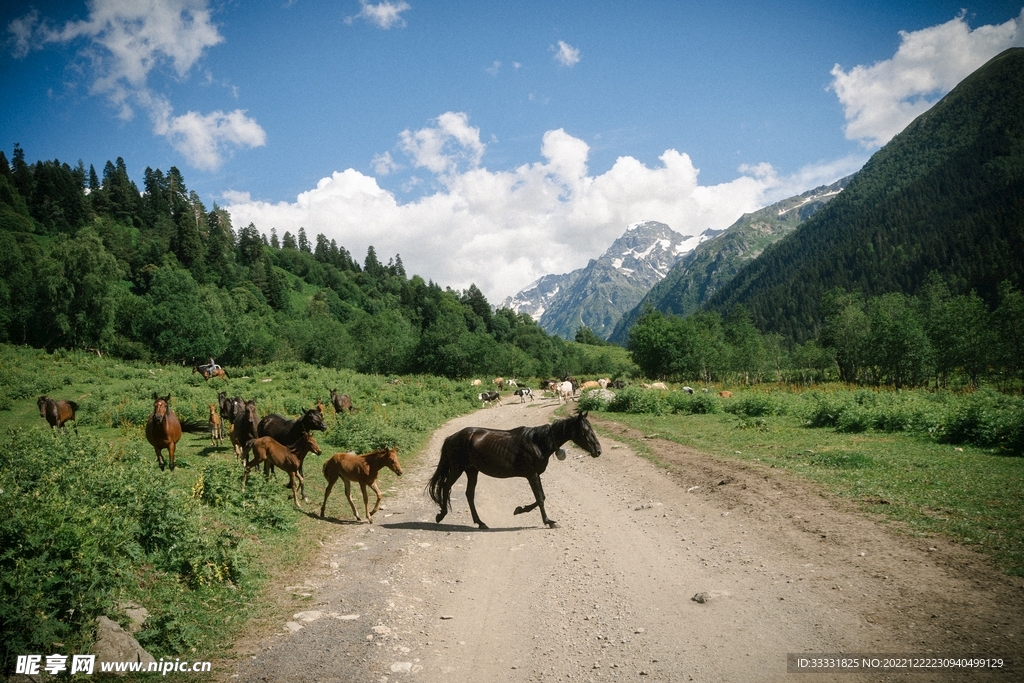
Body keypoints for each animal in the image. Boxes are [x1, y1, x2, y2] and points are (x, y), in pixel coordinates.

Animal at [427, 411, 601, 529]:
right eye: (584, 432)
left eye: (592, 429)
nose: (598, 451)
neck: (537, 442)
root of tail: (453, 437)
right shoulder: (532, 475)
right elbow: (540, 498)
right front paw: (548, 521)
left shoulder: (535, 475)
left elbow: (542, 497)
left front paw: (520, 509)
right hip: (458, 469)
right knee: (445, 487)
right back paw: (441, 515)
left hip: (472, 471)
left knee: (469, 494)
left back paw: (480, 523)